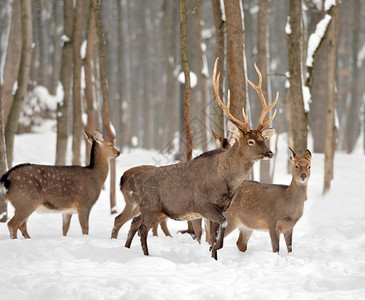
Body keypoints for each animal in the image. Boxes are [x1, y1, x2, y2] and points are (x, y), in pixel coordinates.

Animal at [121, 58, 278, 260]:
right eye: (250, 141)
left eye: (263, 139)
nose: (269, 153)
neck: (227, 181)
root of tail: (136, 181)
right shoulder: (203, 205)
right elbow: (220, 227)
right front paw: (213, 247)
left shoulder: (222, 207)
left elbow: (215, 232)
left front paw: (214, 255)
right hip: (150, 206)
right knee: (143, 229)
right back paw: (146, 256)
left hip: (151, 209)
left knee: (134, 222)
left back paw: (126, 249)